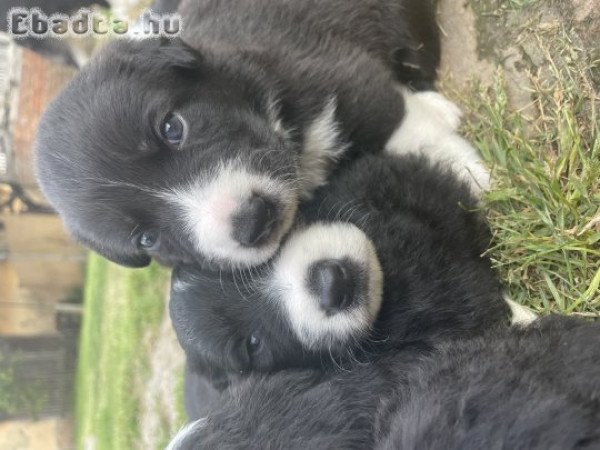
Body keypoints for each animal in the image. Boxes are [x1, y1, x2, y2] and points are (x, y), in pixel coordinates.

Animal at [34, 0, 488, 268]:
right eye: (147, 238)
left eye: (172, 127)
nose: (251, 223)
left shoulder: (349, 79)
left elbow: (407, 127)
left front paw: (477, 180)